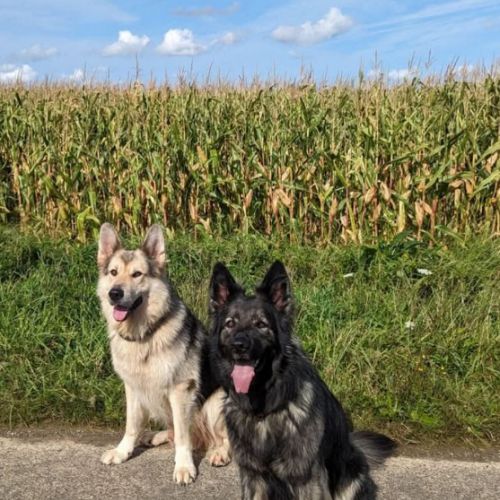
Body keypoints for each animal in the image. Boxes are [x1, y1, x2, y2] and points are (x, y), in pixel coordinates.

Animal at [97, 223, 230, 485]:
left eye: (137, 274)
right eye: (113, 272)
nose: (114, 294)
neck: (145, 334)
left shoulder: (180, 390)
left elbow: (183, 437)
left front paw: (184, 466)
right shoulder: (133, 387)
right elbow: (131, 425)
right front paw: (122, 452)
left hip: (216, 401)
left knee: (225, 438)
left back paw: (220, 452)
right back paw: (157, 436)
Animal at [208, 261, 396, 499]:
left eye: (261, 324)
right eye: (230, 323)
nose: (238, 346)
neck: (264, 410)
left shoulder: (309, 478)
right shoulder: (253, 476)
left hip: (351, 479)